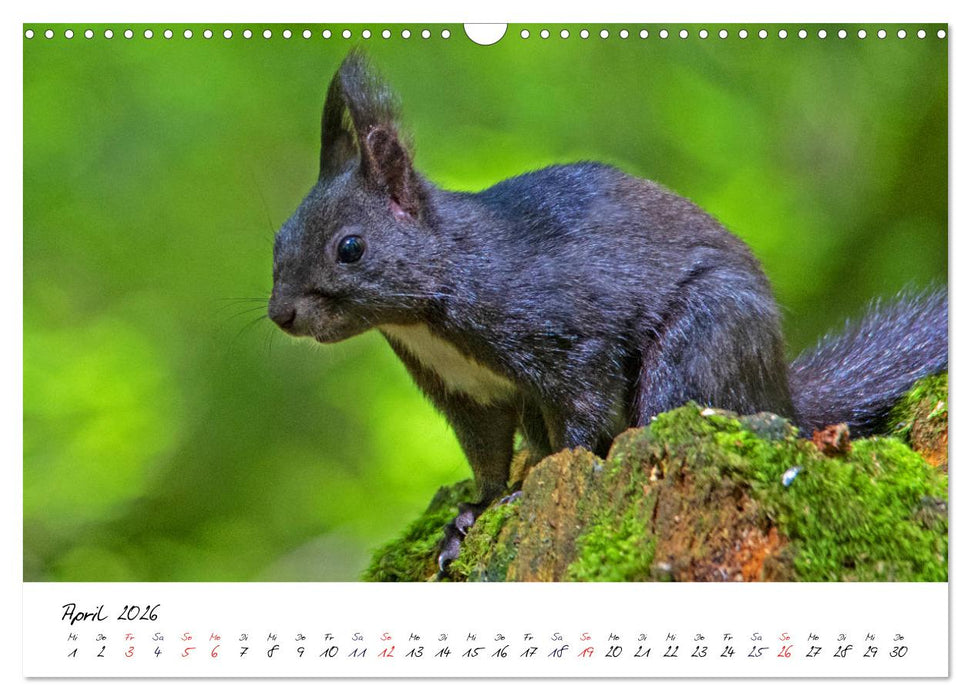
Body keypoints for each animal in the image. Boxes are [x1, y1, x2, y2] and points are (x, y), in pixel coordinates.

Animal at [268, 50, 948, 571]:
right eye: (276, 241)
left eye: (350, 247)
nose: (281, 315)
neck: (428, 312)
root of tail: (781, 393)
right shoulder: (467, 390)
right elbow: (486, 455)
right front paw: (474, 513)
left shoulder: (565, 335)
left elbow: (581, 414)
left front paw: (524, 494)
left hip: (702, 342)